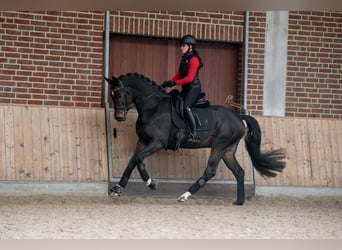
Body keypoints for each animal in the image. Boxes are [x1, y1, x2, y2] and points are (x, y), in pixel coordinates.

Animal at [105, 72, 286, 205]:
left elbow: (139, 160)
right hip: (228, 150)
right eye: (112, 95)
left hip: (219, 146)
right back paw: (239, 202)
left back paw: (184, 195)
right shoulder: (142, 141)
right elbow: (133, 161)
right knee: (239, 172)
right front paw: (118, 188)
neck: (153, 108)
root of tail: (239, 117)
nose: (119, 117)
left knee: (210, 171)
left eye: (120, 93)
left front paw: (151, 183)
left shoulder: (157, 143)